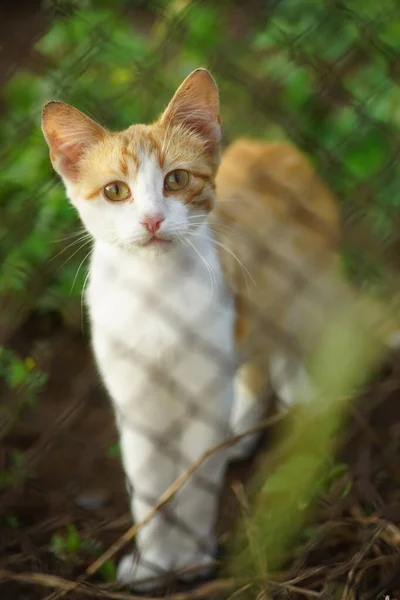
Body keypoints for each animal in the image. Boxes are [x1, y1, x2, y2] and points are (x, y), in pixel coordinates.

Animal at [40, 69, 396, 584]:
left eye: (176, 179)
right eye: (115, 191)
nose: (152, 220)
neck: (156, 294)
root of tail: (272, 146)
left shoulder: (203, 394)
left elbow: (193, 487)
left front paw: (189, 559)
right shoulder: (136, 404)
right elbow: (148, 491)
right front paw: (152, 564)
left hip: (303, 292)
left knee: (293, 346)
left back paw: (302, 403)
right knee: (258, 358)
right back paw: (242, 430)